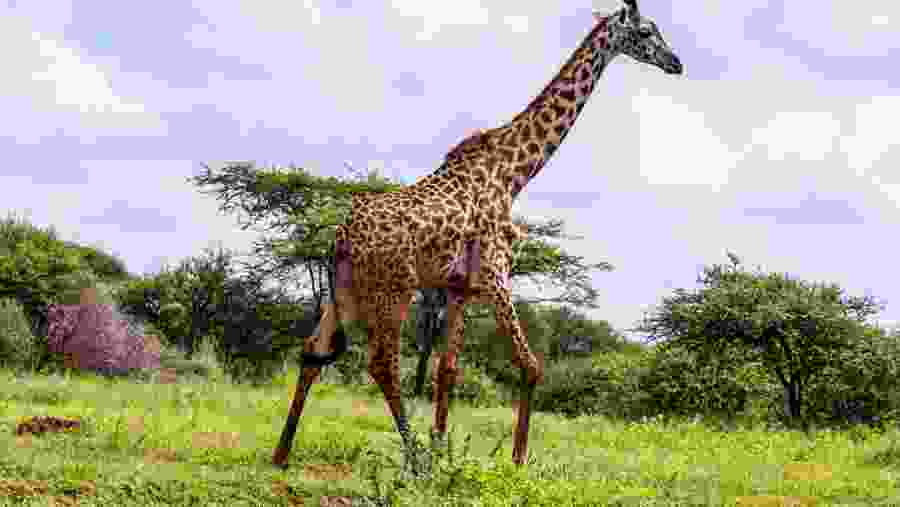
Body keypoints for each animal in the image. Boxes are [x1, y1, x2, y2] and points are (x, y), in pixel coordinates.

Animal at [272, 0, 682, 471]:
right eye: (647, 31)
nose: (677, 63)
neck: (514, 173)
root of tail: (340, 235)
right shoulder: (495, 274)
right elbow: (530, 364)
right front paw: (517, 461)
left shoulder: (459, 288)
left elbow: (447, 369)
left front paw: (443, 448)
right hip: (392, 289)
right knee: (382, 365)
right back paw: (415, 461)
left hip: (347, 291)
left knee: (312, 352)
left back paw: (282, 453)